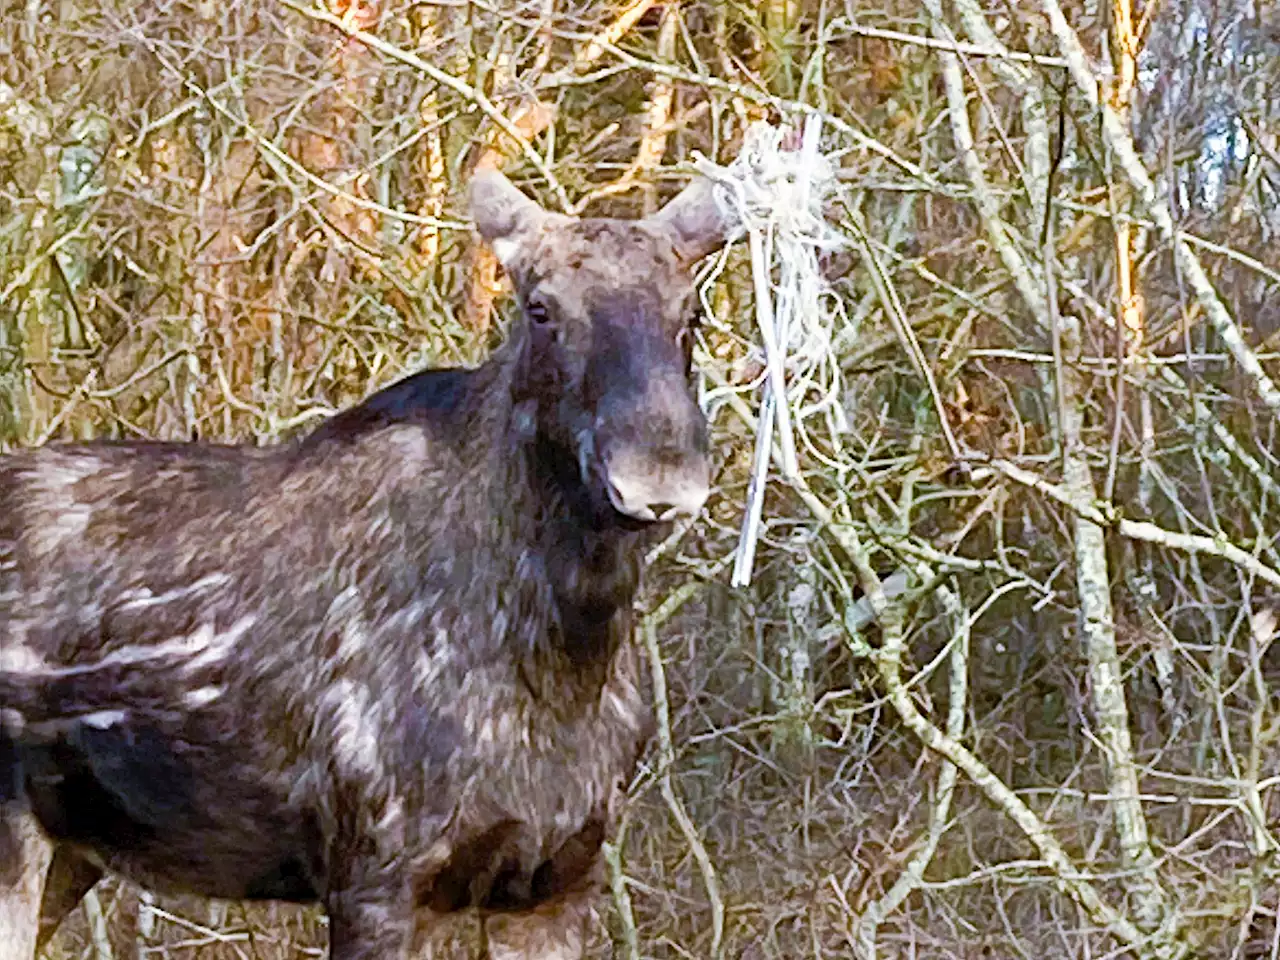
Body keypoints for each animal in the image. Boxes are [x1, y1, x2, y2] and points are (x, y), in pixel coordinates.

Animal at [0, 168, 732, 957]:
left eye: (692, 312)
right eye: (540, 307)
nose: (660, 475)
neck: (564, 658)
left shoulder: (559, 881)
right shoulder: (377, 877)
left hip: (72, 853)